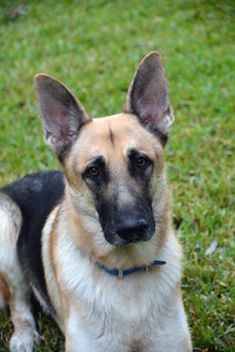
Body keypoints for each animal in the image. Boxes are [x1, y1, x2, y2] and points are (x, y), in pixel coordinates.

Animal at [0, 52, 191, 352]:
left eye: (141, 161)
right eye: (93, 171)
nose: (132, 229)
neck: (126, 271)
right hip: (5, 227)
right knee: (17, 301)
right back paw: (24, 336)